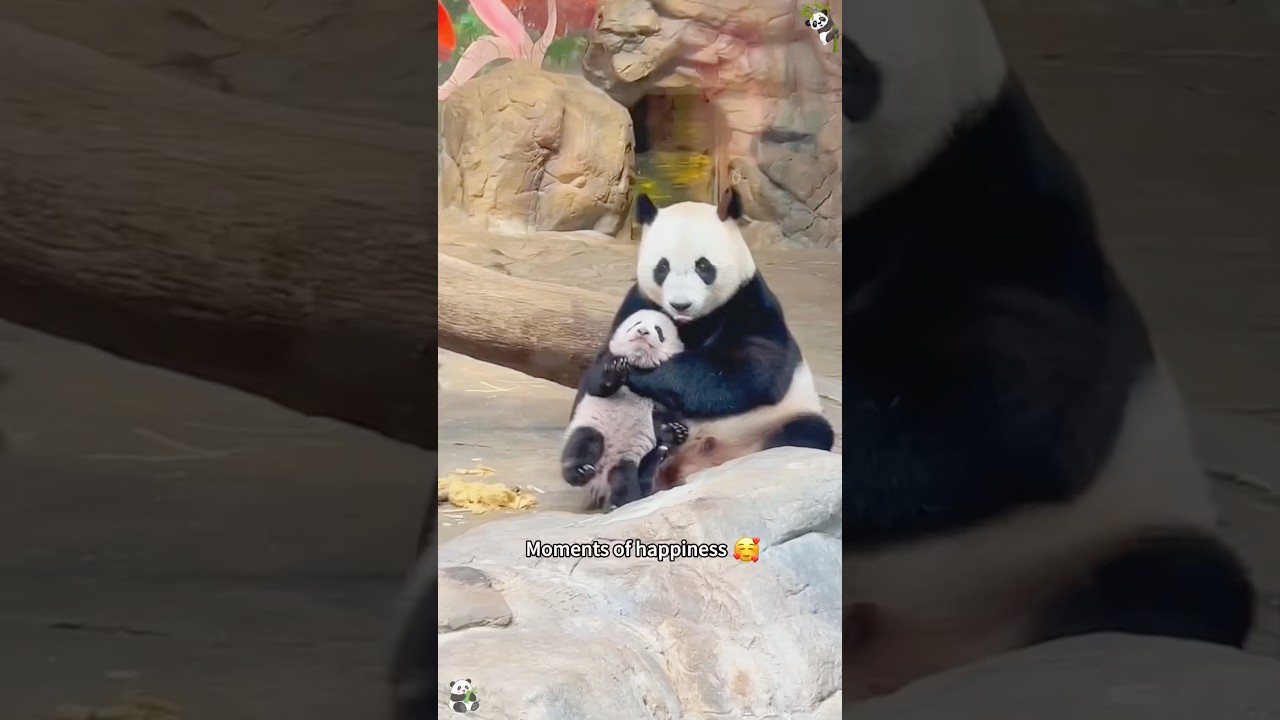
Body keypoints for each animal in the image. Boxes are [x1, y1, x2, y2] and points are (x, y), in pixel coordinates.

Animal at [561, 309, 690, 508]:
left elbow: (665, 414)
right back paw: (580, 471)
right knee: (585, 442)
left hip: (628, 459)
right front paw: (616, 371)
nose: (642, 332)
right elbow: (597, 385)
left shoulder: (662, 383)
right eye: (636, 323)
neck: (637, 363)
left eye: (658, 330)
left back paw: (623, 501)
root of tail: (601, 479)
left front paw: (676, 431)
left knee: (626, 477)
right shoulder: (606, 358)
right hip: (593, 426)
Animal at [573, 188, 835, 500]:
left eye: (703, 266)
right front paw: (613, 369)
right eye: (662, 266)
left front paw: (641, 372)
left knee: (807, 432)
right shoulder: (638, 302)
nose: (680, 304)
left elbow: (748, 371)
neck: (690, 323)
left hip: (777, 420)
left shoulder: (751, 304)